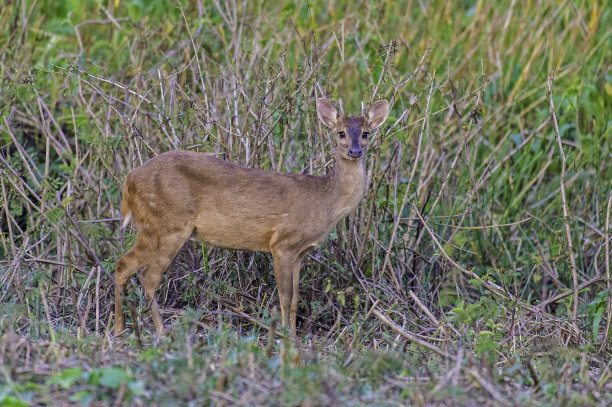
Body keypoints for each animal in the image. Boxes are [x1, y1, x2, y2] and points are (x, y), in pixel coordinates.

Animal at [114, 97, 390, 336]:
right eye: (340, 133)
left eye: (365, 133)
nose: (355, 151)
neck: (325, 201)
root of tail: (128, 181)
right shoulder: (282, 243)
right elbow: (284, 297)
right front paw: (285, 337)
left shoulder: (300, 251)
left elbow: (295, 299)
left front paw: (294, 335)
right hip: (167, 224)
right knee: (147, 276)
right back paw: (160, 332)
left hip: (154, 227)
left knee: (123, 266)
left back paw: (119, 330)